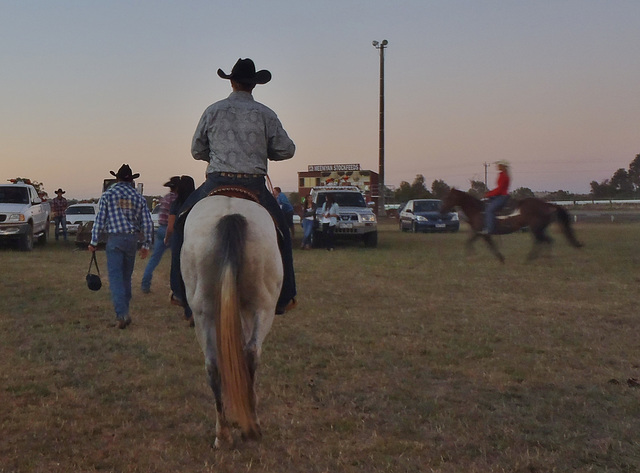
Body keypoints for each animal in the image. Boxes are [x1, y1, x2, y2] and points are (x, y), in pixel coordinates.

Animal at [180, 195, 280, 446]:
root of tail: (230, 216)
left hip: (204, 313)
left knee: (214, 364)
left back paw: (224, 433)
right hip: (263, 308)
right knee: (251, 353)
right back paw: (249, 425)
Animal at [440, 188, 584, 262]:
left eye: (448, 197)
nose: (441, 210)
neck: (477, 210)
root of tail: (547, 204)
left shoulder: (484, 233)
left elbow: (490, 245)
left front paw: (500, 258)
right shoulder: (478, 232)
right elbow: (469, 242)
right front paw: (469, 256)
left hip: (536, 228)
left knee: (544, 240)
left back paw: (537, 258)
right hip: (538, 229)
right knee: (543, 241)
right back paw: (536, 257)